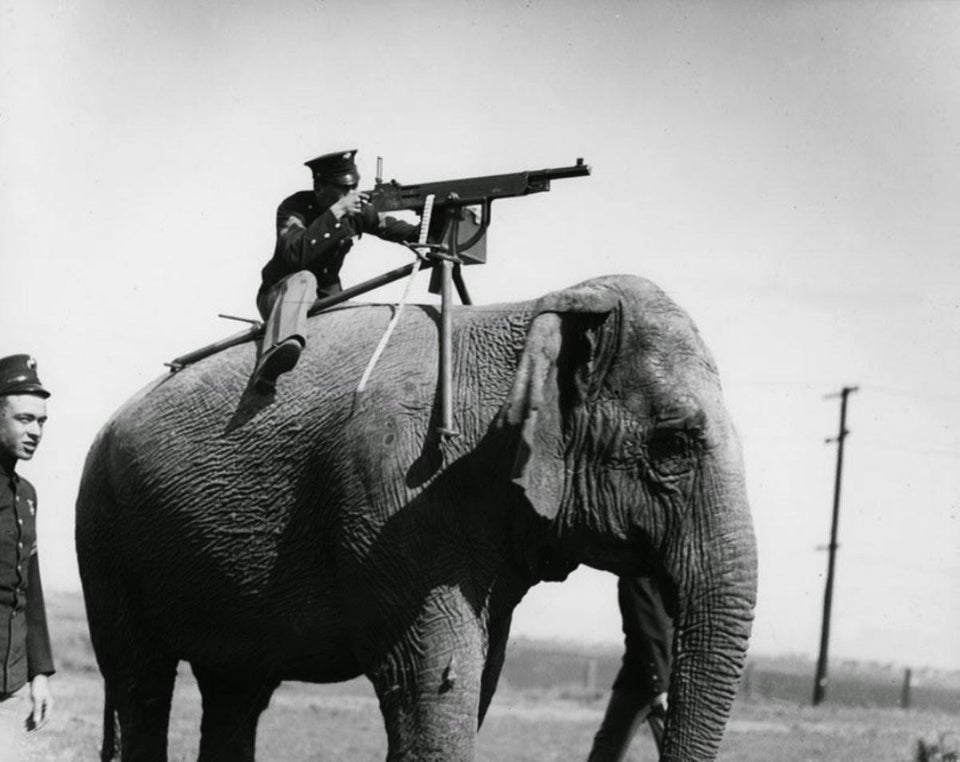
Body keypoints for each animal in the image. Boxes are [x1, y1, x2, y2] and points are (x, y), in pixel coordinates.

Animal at [75, 274, 756, 760]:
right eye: (673, 444)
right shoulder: (394, 490)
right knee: (139, 682)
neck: (534, 313)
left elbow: (480, 676)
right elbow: (434, 683)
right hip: (104, 537)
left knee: (234, 695)